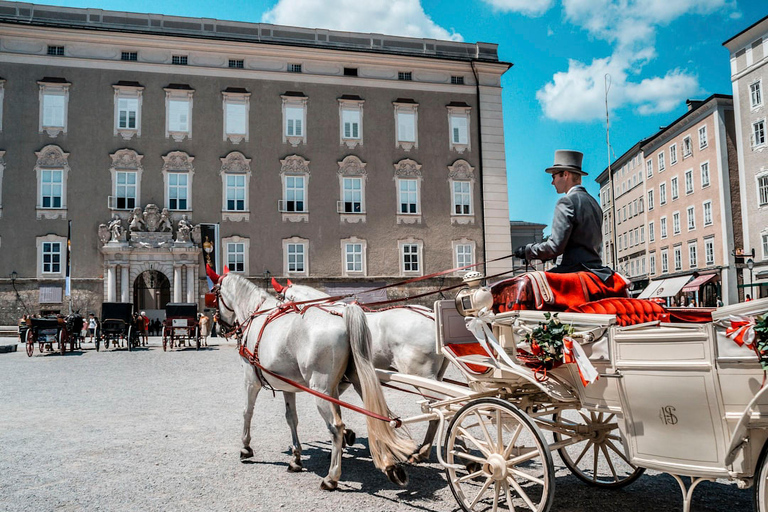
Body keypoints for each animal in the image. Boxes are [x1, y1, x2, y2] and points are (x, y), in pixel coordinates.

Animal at [210, 270, 416, 490]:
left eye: (214, 294)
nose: (221, 328)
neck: (257, 314)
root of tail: (343, 316)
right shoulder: (288, 387)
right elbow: (291, 418)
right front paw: (296, 457)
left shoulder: (251, 380)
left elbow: (247, 412)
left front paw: (246, 447)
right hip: (358, 380)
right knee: (377, 414)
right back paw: (390, 465)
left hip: (321, 389)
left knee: (336, 426)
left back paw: (332, 477)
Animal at [272, 280, 448, 464]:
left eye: (280, 301)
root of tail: (432, 317)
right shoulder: (342, 381)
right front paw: (345, 437)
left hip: (422, 376)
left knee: (442, 408)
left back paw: (425, 451)